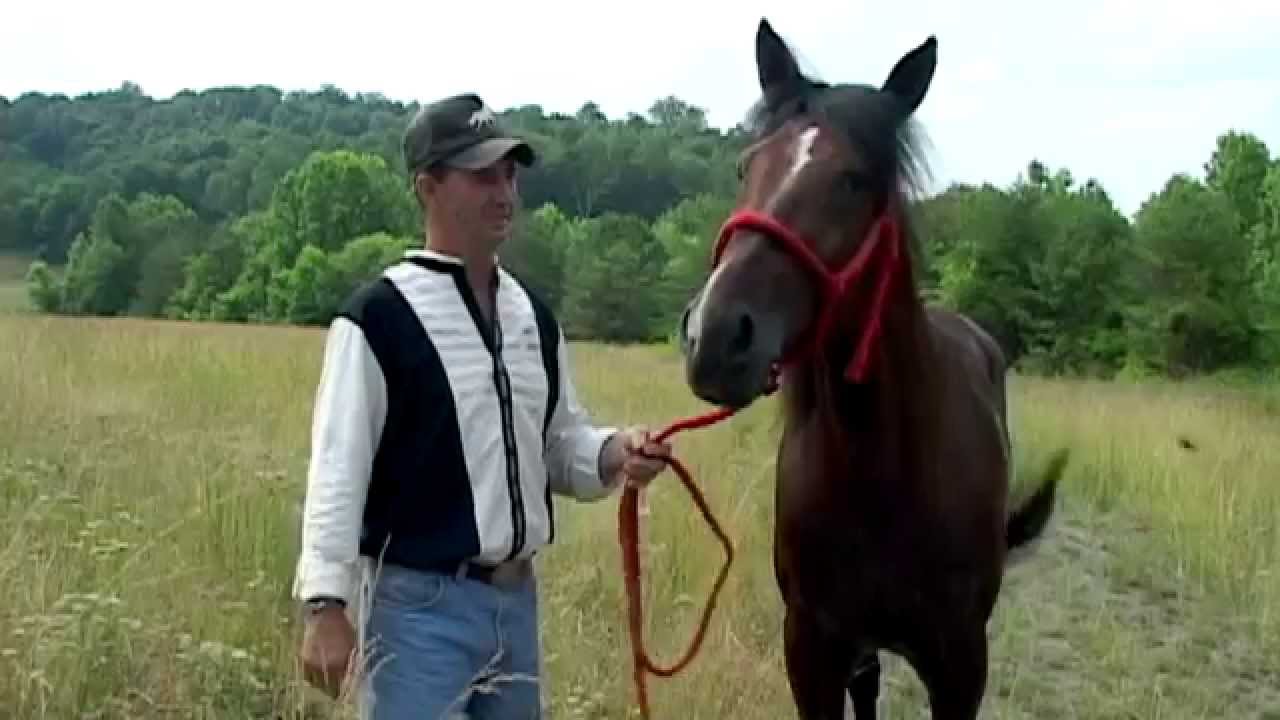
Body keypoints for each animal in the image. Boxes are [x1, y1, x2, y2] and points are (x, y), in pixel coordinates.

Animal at [677, 19, 1070, 719]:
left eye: (853, 180)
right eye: (748, 165)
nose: (716, 336)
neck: (884, 467)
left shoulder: (960, 664)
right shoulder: (812, 650)